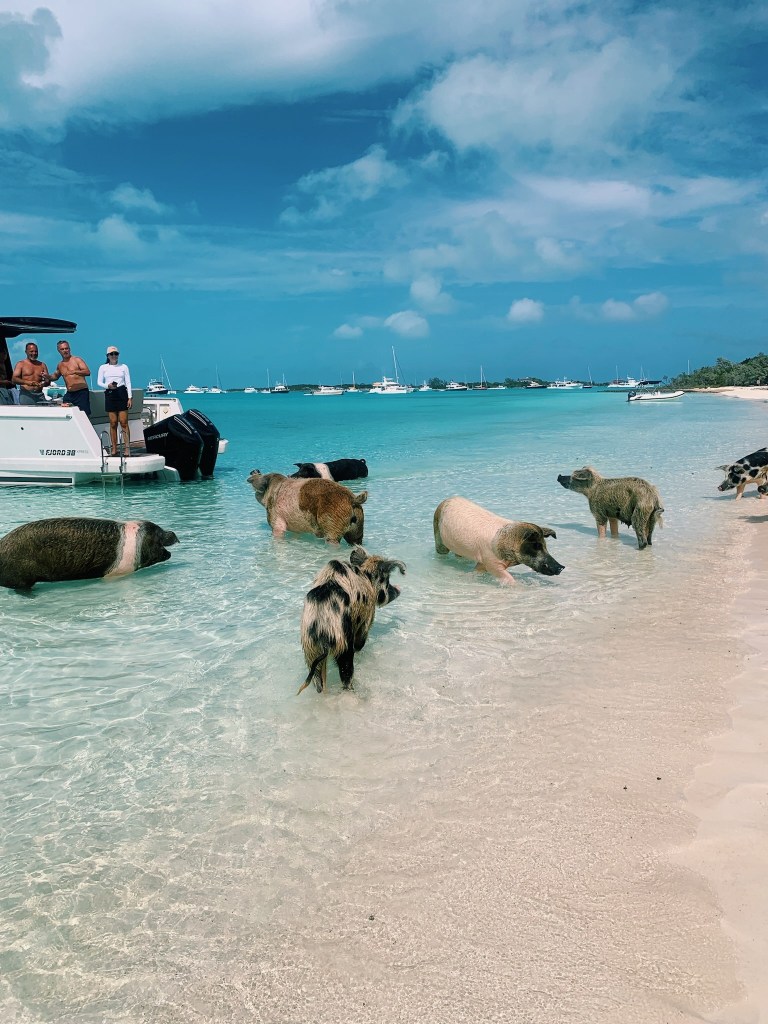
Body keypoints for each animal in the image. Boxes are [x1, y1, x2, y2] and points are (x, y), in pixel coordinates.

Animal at [298, 546, 406, 693]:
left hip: (310, 651)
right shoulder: (368, 617)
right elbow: (360, 642)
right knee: (346, 673)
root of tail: (322, 631)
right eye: (387, 579)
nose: (399, 589)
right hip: (343, 645)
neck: (367, 578)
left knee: (318, 681)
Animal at [433, 496, 564, 585]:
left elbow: (477, 570)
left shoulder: (483, 561)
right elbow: (508, 578)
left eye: (545, 546)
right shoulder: (491, 561)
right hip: (437, 533)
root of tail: (446, 500)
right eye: (536, 546)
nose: (561, 567)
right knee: (441, 552)